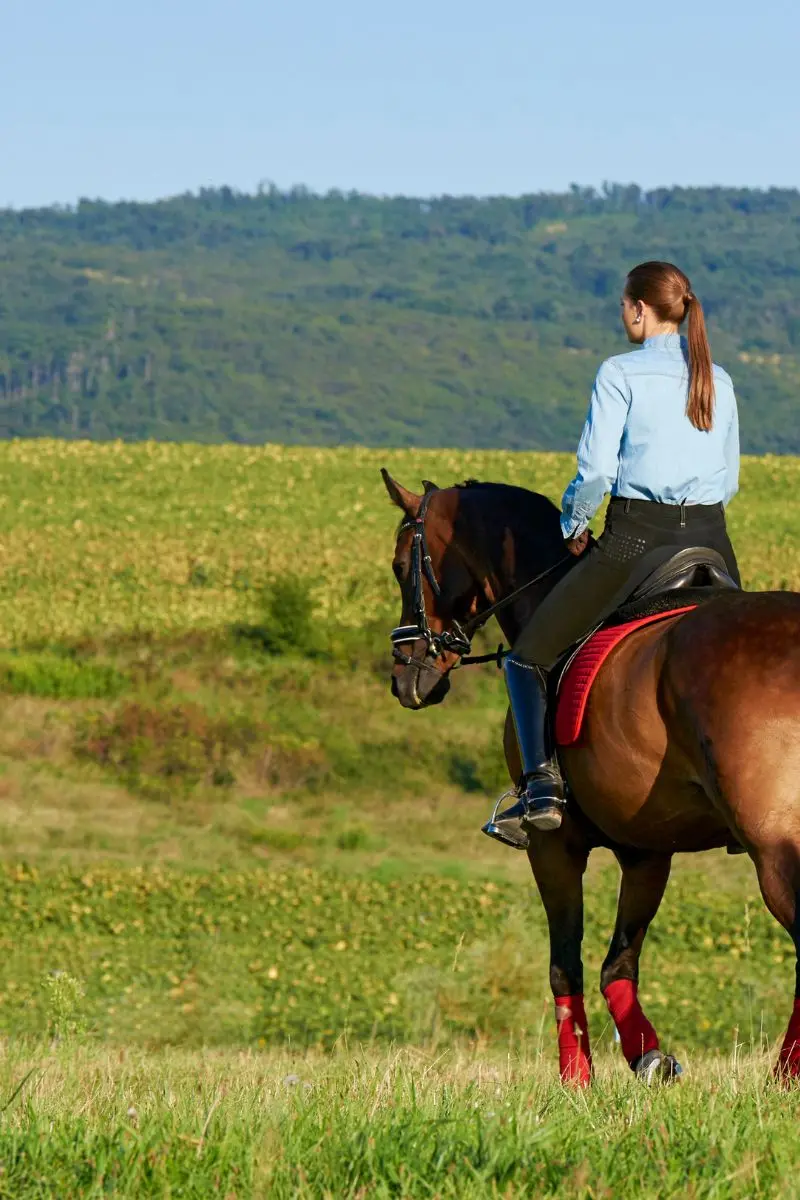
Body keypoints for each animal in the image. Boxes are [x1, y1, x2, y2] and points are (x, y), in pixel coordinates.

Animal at [382, 469, 800, 1085]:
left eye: (398, 564)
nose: (406, 679)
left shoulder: (553, 844)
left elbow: (565, 963)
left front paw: (576, 1076)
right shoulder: (647, 850)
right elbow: (617, 964)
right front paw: (648, 1055)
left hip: (771, 847)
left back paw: (784, 1076)